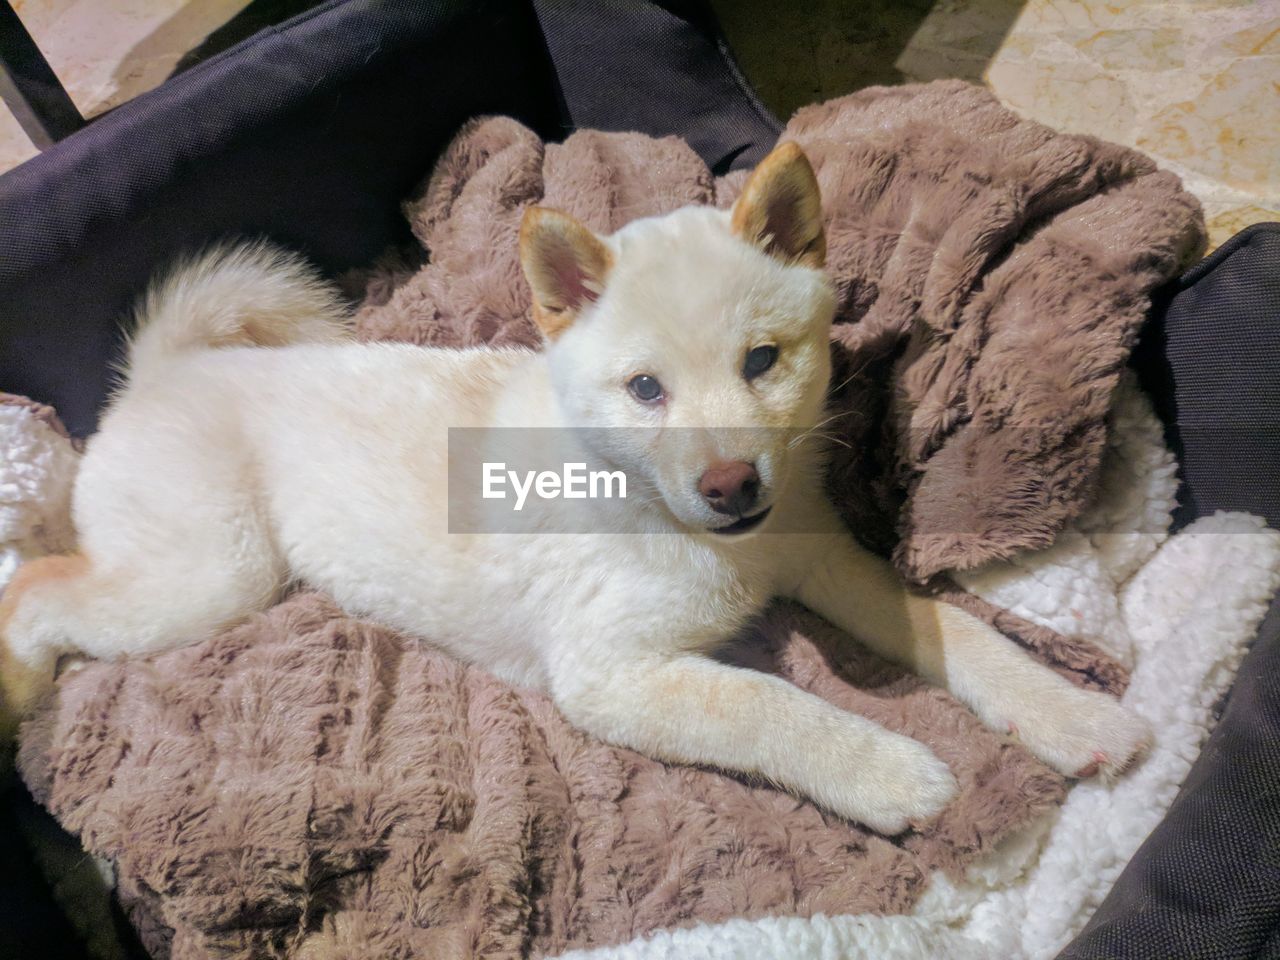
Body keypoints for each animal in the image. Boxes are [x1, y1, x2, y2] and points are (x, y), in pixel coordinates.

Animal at [0, 142, 1152, 834]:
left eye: (762, 362)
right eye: (644, 388)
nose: (731, 485)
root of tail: (160, 372)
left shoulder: (818, 554)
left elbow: (948, 629)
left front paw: (1066, 714)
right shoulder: (608, 674)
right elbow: (768, 703)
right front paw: (887, 770)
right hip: (213, 575)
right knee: (38, 589)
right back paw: (15, 688)